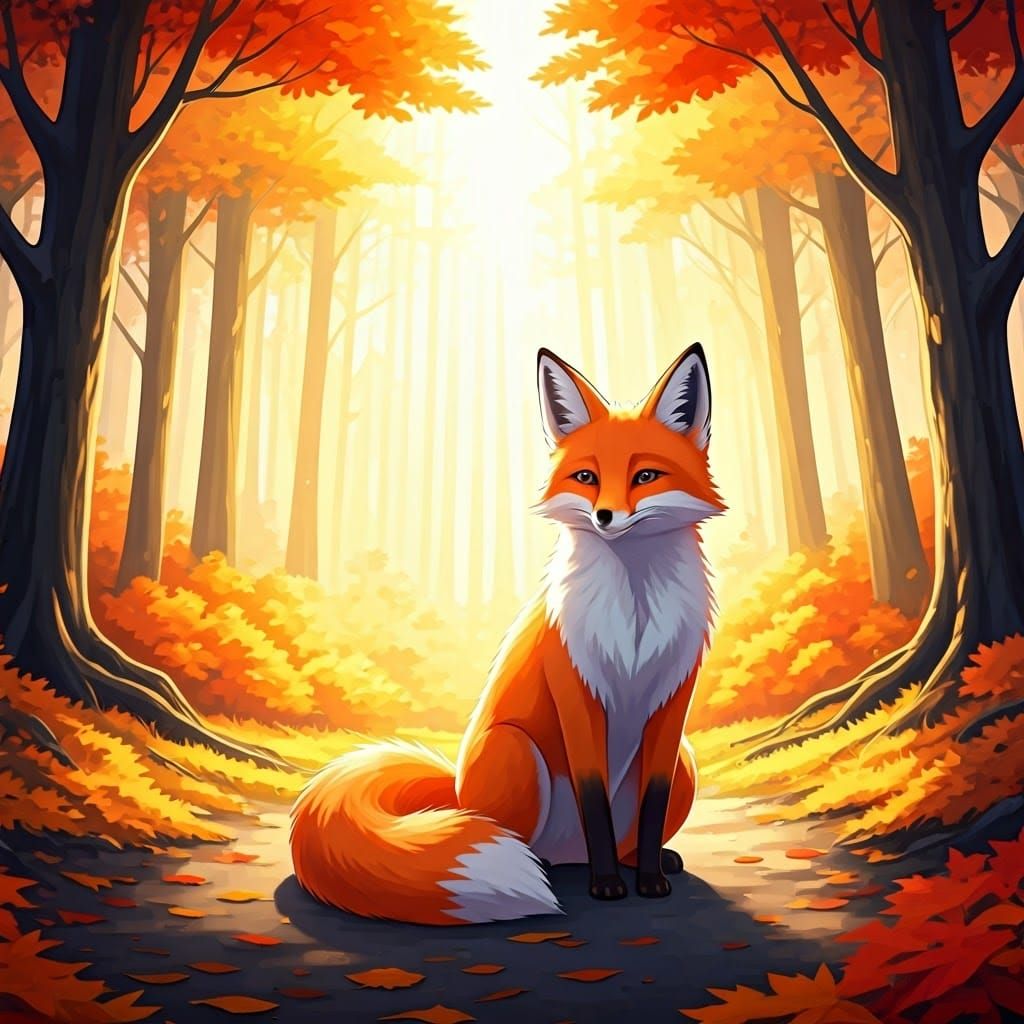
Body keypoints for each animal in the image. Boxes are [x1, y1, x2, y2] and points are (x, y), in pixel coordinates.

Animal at [290, 344, 722, 925]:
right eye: (586, 477)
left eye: (646, 476)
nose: (606, 516)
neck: (635, 614)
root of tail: (455, 790)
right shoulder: (574, 690)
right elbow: (592, 798)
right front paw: (607, 885)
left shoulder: (674, 700)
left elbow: (652, 805)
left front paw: (649, 880)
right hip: (516, 750)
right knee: (512, 838)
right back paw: (544, 864)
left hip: (686, 760)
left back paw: (640, 860)